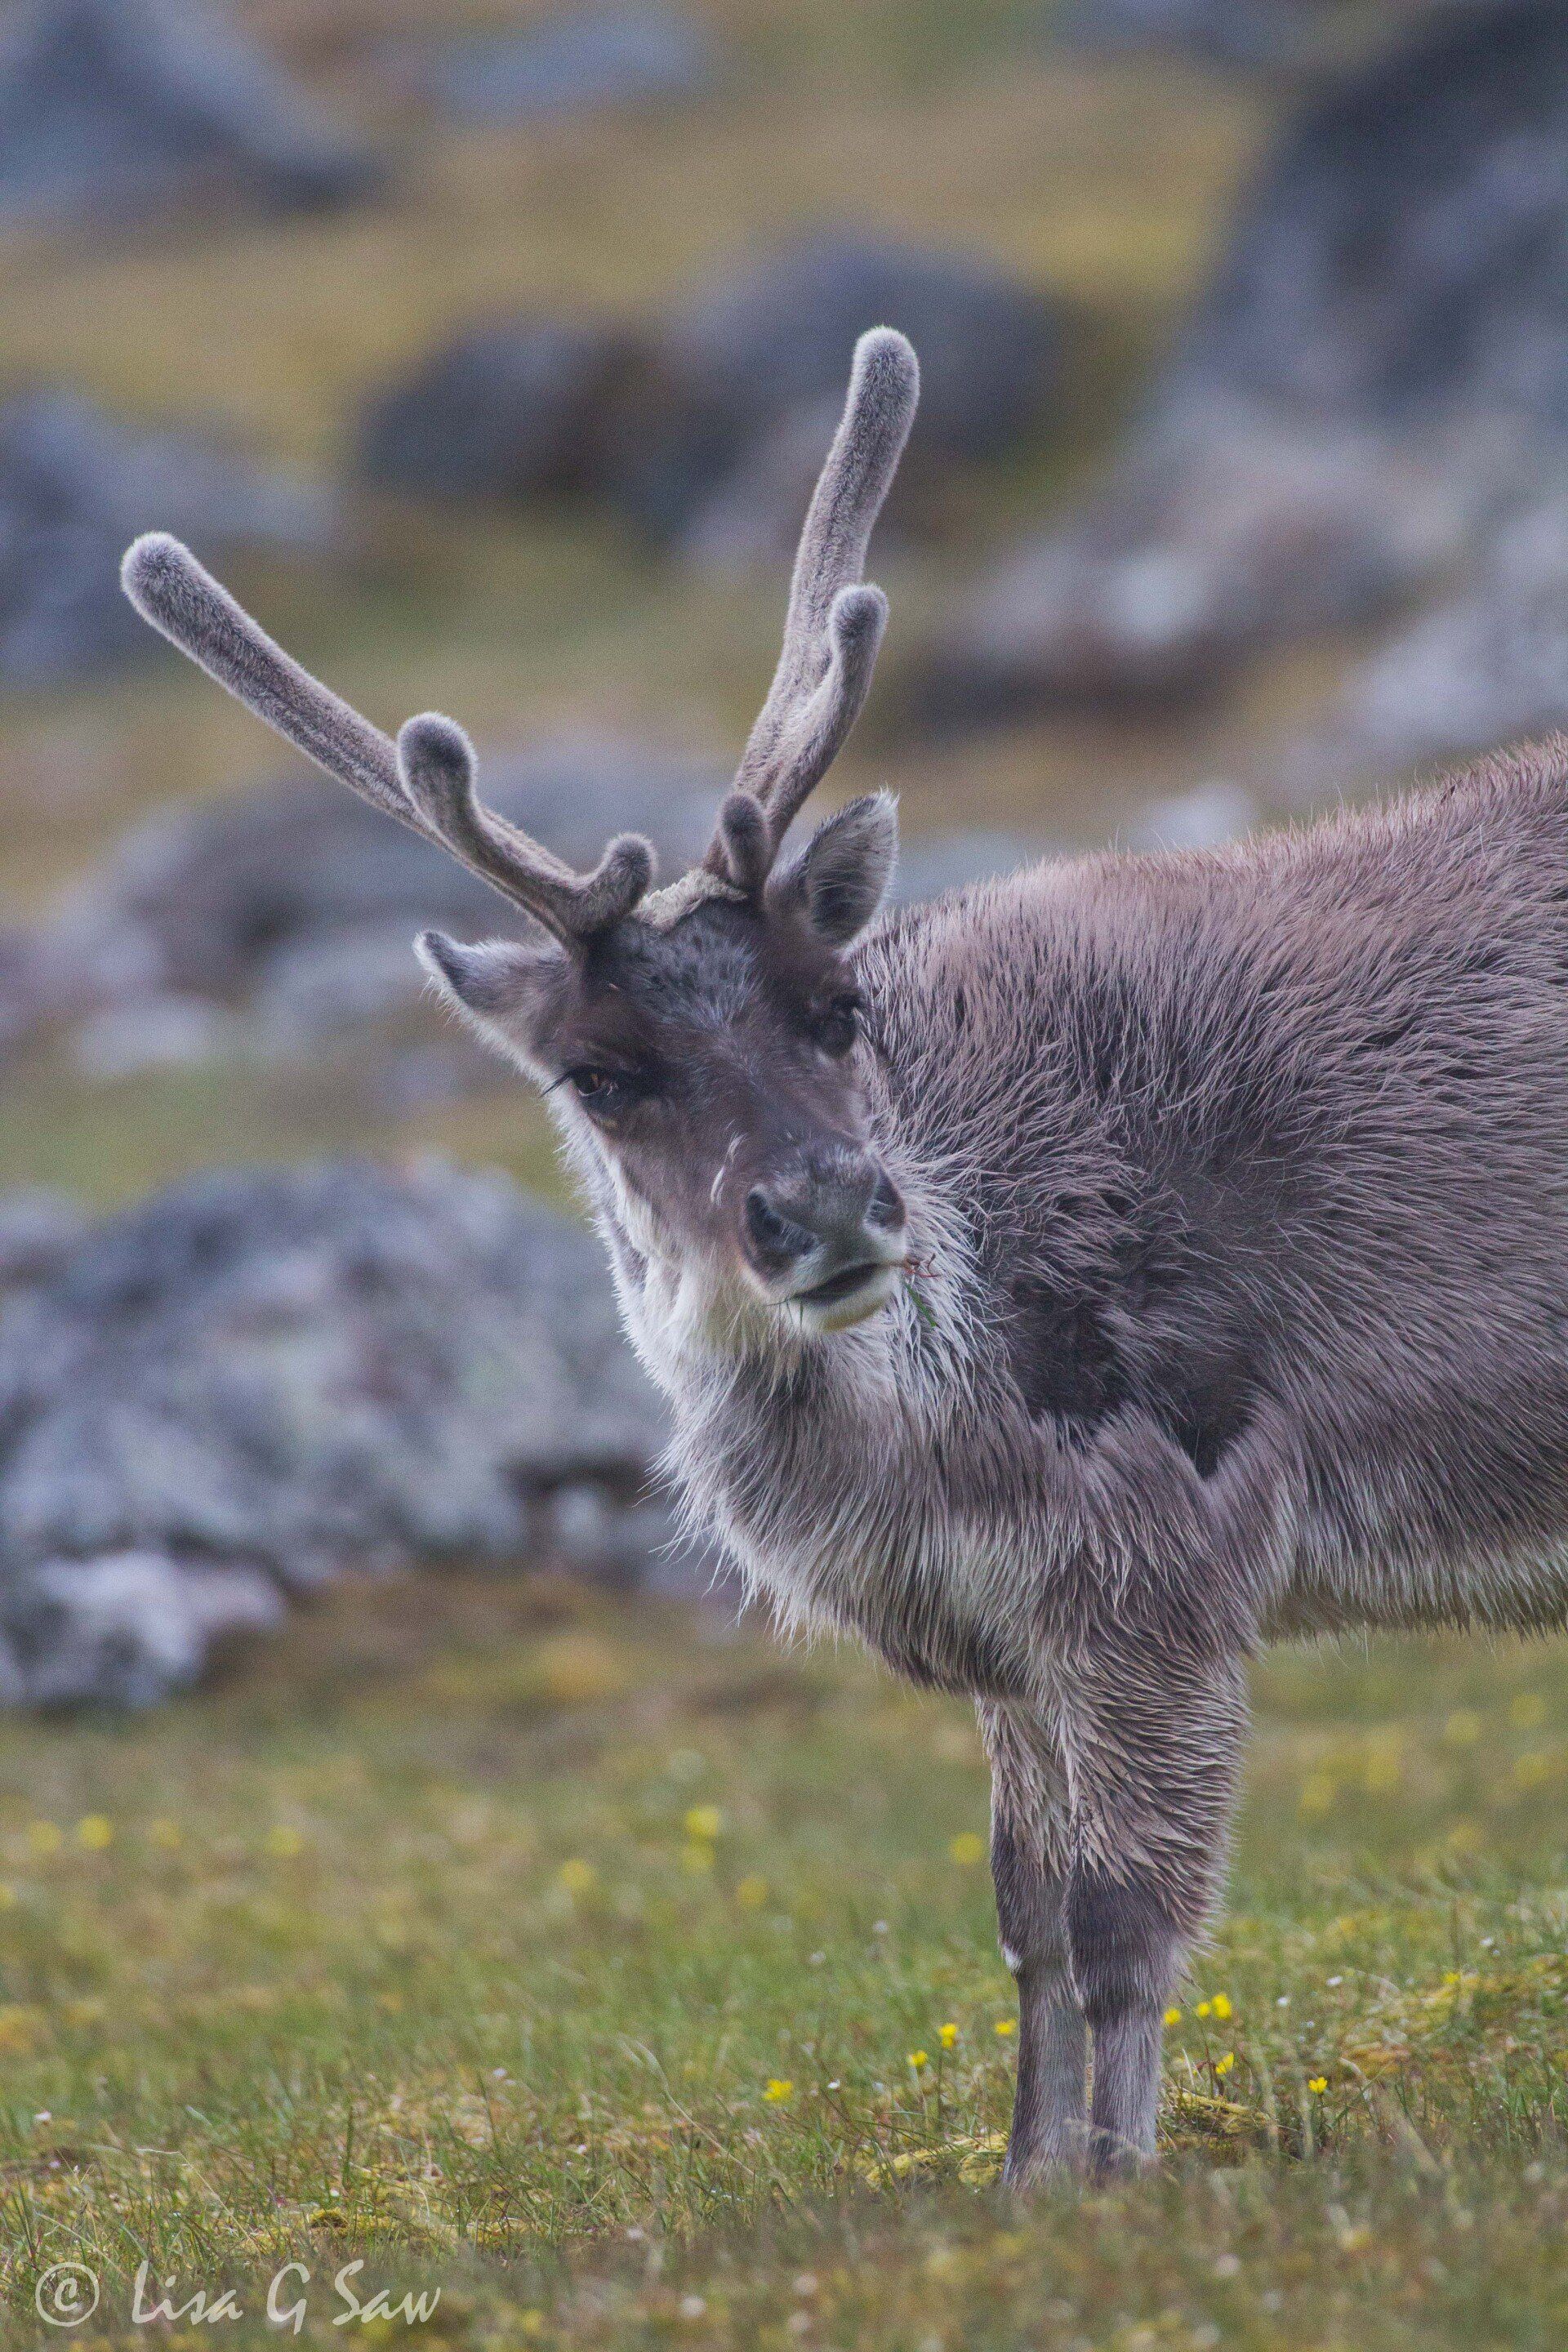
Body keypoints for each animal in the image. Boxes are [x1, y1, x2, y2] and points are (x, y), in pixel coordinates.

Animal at [120, 325, 1568, 2180]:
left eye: (837, 1003)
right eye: (598, 1074)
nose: (828, 1210)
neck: (911, 1425)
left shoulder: (1155, 1581)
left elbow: (1126, 1928)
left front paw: (1126, 2185)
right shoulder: (1000, 1636)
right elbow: (1024, 1926)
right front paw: (1026, 2185)